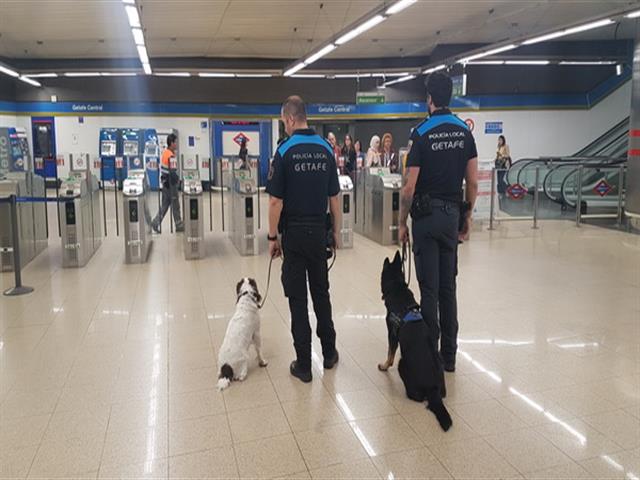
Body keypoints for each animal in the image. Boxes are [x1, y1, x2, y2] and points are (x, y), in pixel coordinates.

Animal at [378, 251, 452, 432]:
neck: (397, 288)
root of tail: (433, 389)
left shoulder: (392, 334)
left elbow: (390, 354)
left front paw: (384, 366)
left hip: (402, 363)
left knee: (416, 396)